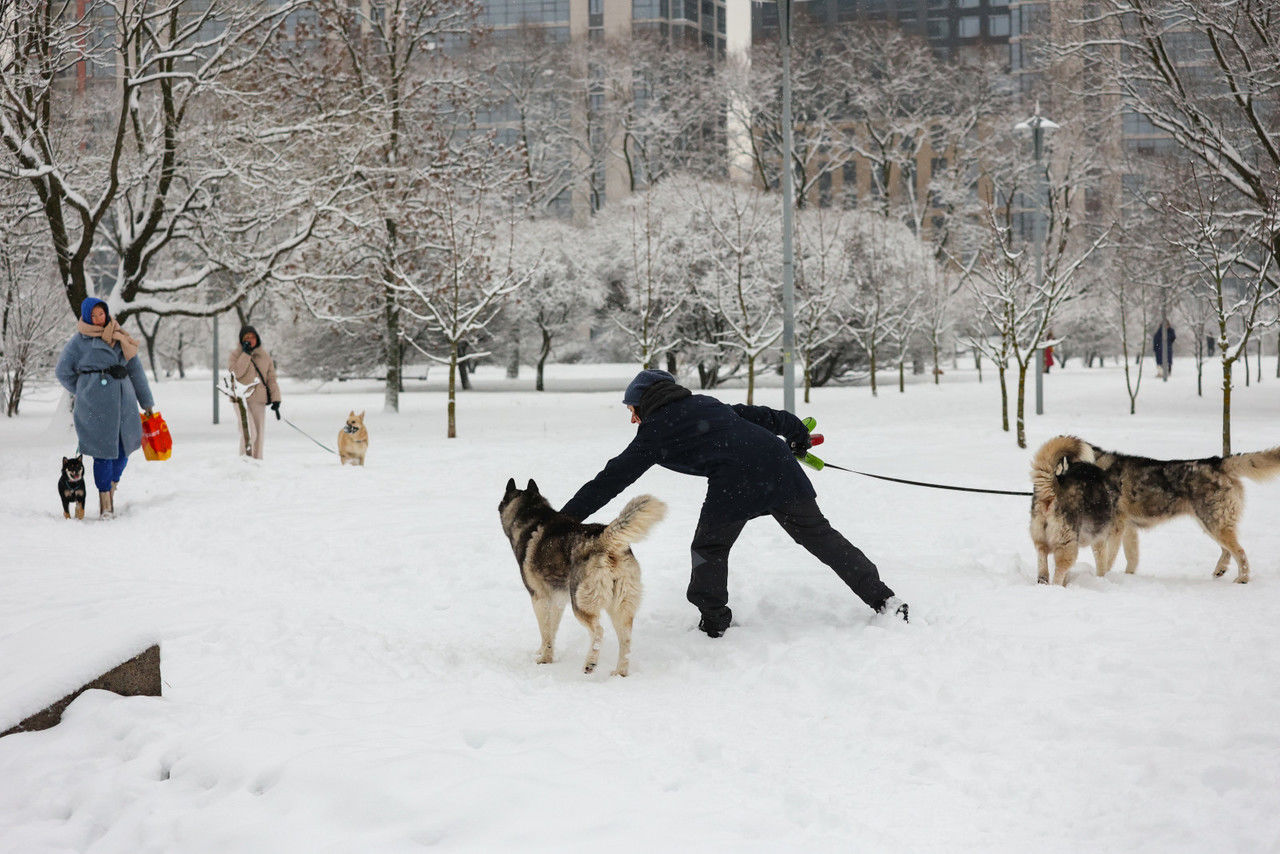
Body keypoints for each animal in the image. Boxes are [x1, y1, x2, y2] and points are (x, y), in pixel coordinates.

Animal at [496, 481, 665, 676]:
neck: (532, 513)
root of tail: (604, 539)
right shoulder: (558, 601)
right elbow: (551, 632)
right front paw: (544, 653)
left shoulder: (539, 598)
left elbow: (545, 632)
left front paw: (544, 659)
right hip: (620, 607)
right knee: (626, 640)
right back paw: (619, 673)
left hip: (580, 603)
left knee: (598, 631)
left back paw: (590, 663)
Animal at [1029, 437, 1280, 583]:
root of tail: (1217, 461)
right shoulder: (1128, 530)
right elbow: (1131, 558)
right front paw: (1127, 577)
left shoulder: (1114, 530)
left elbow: (1108, 559)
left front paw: (1104, 578)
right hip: (1209, 524)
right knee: (1228, 550)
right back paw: (1220, 571)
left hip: (1213, 523)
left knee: (1240, 552)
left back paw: (1242, 579)